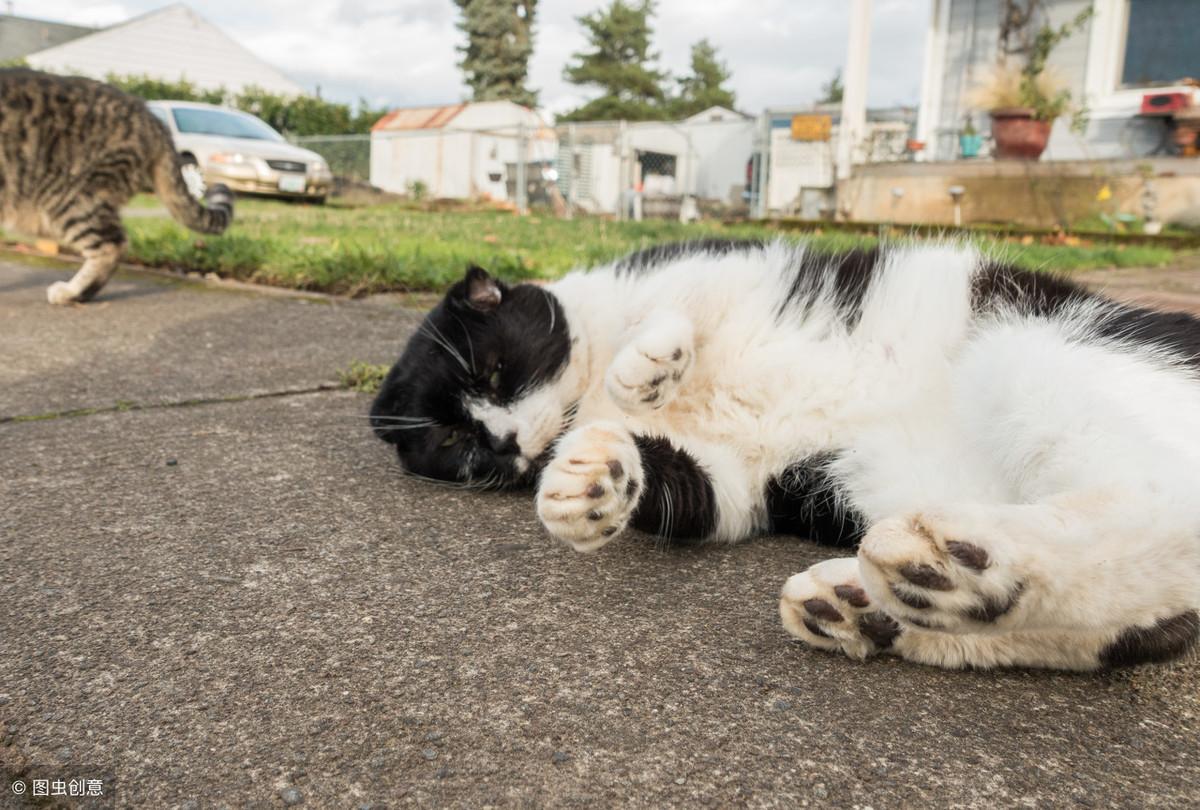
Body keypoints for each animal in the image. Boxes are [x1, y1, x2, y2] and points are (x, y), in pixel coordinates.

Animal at [369, 241, 1200, 672]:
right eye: (453, 442)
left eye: (494, 373)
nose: (505, 443)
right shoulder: (735, 479)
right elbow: (683, 486)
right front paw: (588, 480)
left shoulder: (718, 271)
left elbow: (672, 308)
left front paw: (646, 366)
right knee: (1149, 616)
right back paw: (878, 606)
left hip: (1036, 350)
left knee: (1160, 510)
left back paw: (950, 566)